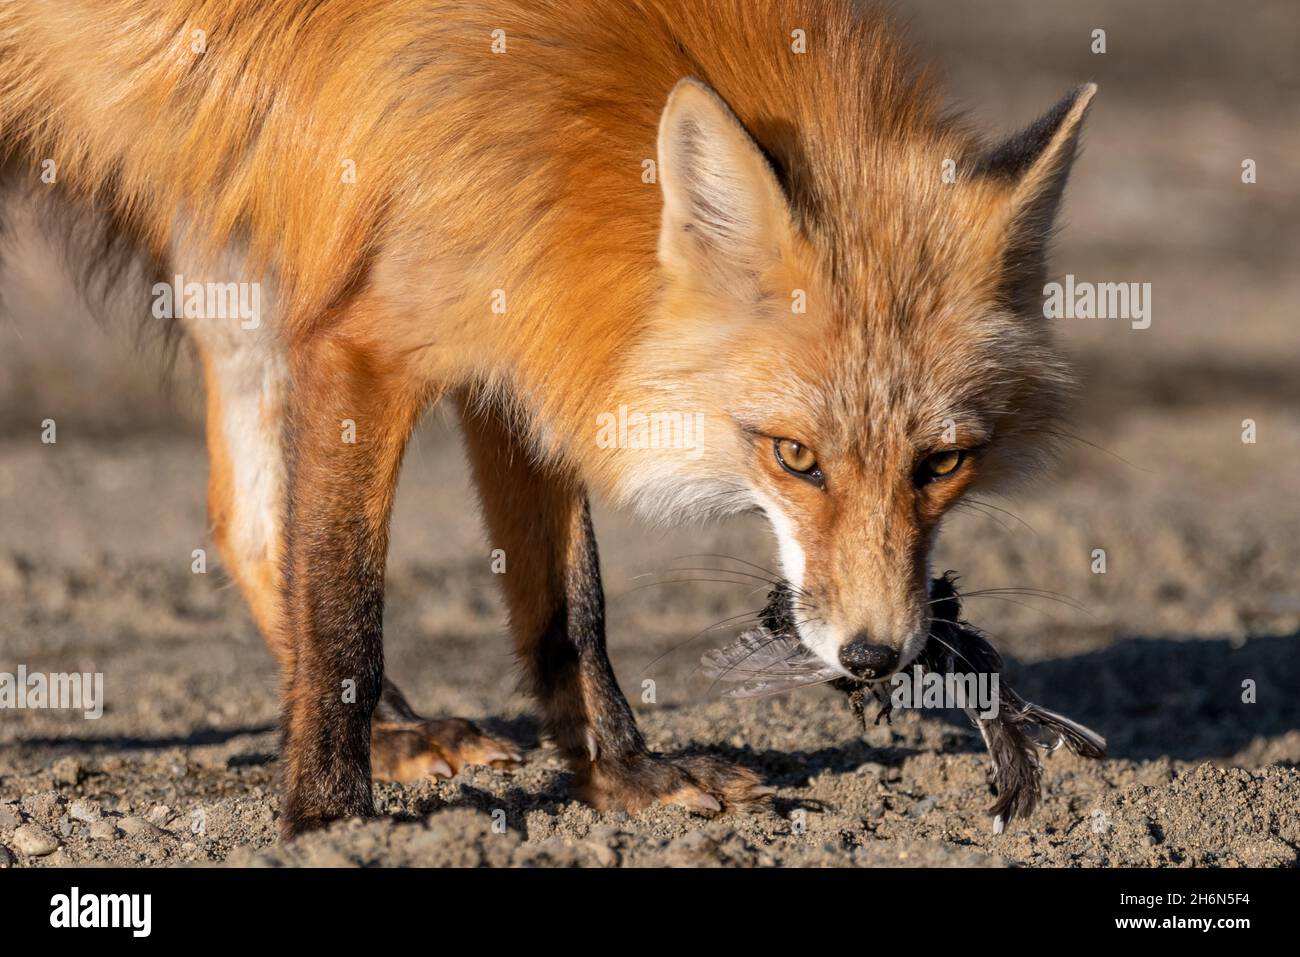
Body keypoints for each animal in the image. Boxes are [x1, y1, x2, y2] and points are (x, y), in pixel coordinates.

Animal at [0, 0, 1093, 837]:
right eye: (794, 456)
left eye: (942, 464)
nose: (876, 656)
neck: (561, 100)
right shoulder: (367, 340)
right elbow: (347, 608)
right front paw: (328, 819)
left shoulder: (527, 323)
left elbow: (571, 609)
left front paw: (623, 778)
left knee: (242, 521)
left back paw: (400, 735)